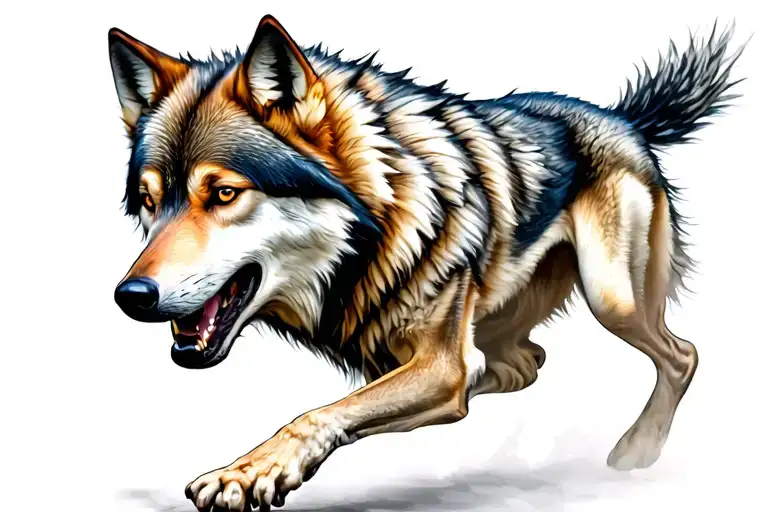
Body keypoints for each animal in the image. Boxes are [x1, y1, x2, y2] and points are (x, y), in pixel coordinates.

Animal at [108, 14, 745, 510]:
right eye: (148, 200)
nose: (130, 296)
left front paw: (247, 473)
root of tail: (624, 117)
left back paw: (639, 449)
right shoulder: (436, 363)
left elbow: (315, 413)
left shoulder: (440, 365)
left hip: (613, 298)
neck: (376, 231)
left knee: (681, 355)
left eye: (222, 194)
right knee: (523, 366)